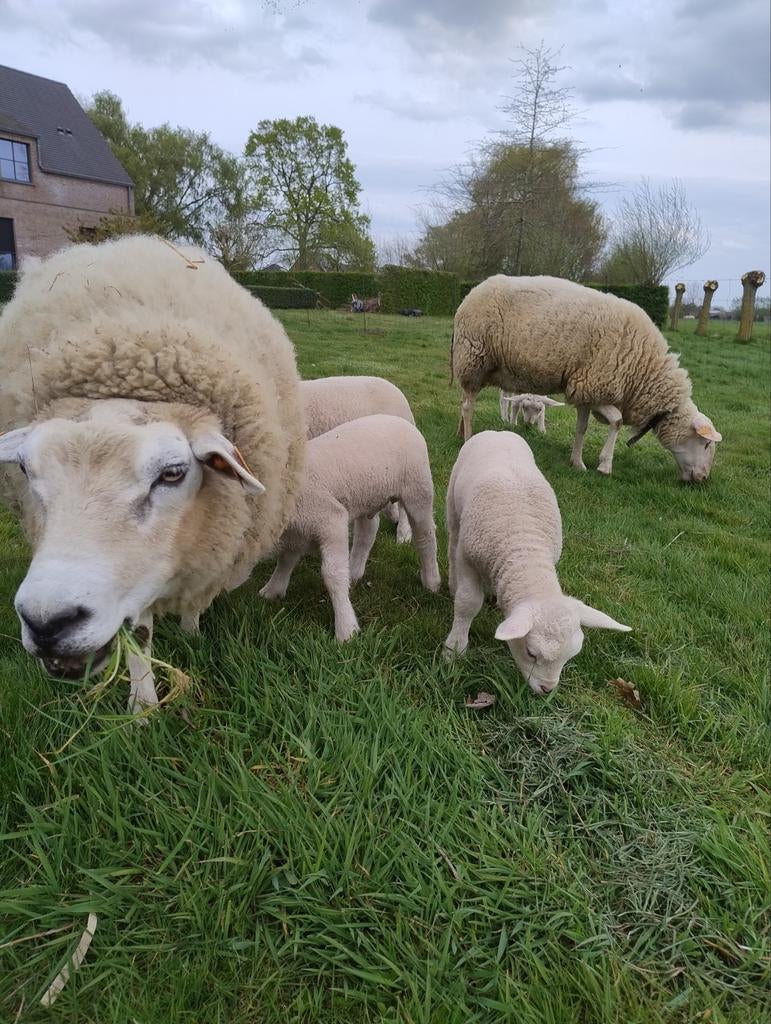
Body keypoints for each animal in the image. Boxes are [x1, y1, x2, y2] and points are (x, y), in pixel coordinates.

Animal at [0, 236, 305, 713]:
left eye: (174, 473)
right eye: (25, 468)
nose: (47, 622)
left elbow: (195, 600)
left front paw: (191, 631)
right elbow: (139, 635)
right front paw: (142, 707)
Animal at [260, 414, 440, 640]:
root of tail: (399, 420)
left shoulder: (331, 519)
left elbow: (332, 574)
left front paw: (346, 630)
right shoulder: (297, 532)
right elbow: (285, 560)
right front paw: (272, 590)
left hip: (418, 489)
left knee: (425, 537)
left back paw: (432, 581)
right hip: (367, 497)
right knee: (367, 532)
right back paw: (353, 573)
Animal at [444, 430, 631, 694]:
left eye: (569, 657)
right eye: (531, 653)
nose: (547, 690)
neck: (525, 551)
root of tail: (496, 431)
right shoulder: (468, 558)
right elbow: (467, 603)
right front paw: (454, 649)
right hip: (453, 507)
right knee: (452, 542)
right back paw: (453, 583)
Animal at [452, 276, 722, 481]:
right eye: (706, 444)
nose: (703, 479)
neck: (644, 374)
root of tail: (469, 295)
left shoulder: (586, 390)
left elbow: (582, 428)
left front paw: (577, 462)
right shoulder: (597, 387)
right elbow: (617, 421)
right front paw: (605, 465)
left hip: (475, 366)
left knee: (464, 400)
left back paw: (459, 431)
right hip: (474, 358)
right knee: (467, 406)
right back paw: (467, 437)